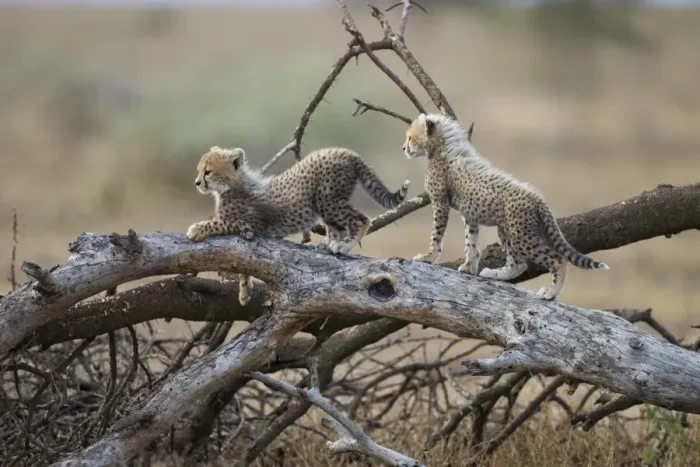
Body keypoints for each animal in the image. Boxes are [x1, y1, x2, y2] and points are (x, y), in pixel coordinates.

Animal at [186, 145, 410, 305]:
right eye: (198, 170)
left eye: (208, 172)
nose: (196, 183)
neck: (232, 185)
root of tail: (346, 151)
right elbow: (243, 264)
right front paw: (244, 291)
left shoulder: (248, 224)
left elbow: (218, 223)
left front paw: (196, 229)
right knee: (337, 228)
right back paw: (326, 246)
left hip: (328, 199)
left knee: (361, 219)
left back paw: (343, 246)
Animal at [402, 113, 609, 301]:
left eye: (410, 137)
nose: (404, 148)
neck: (442, 148)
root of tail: (537, 197)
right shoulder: (469, 214)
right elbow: (471, 241)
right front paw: (469, 267)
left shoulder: (440, 203)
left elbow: (436, 235)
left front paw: (428, 257)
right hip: (507, 230)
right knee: (518, 264)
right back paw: (496, 275)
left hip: (522, 235)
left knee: (557, 259)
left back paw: (550, 293)